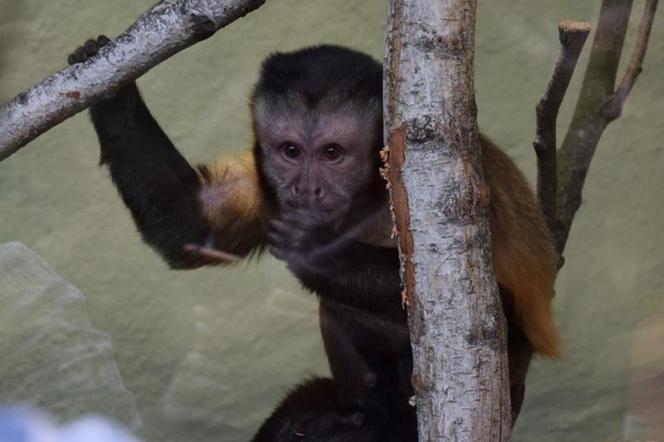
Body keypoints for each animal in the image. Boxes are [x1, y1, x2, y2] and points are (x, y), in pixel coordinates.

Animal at [67, 36, 556, 440]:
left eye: (332, 154)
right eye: (291, 151)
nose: (306, 190)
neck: (368, 196)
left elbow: (469, 299)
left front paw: (319, 254)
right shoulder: (269, 188)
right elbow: (193, 228)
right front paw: (113, 99)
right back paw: (360, 416)